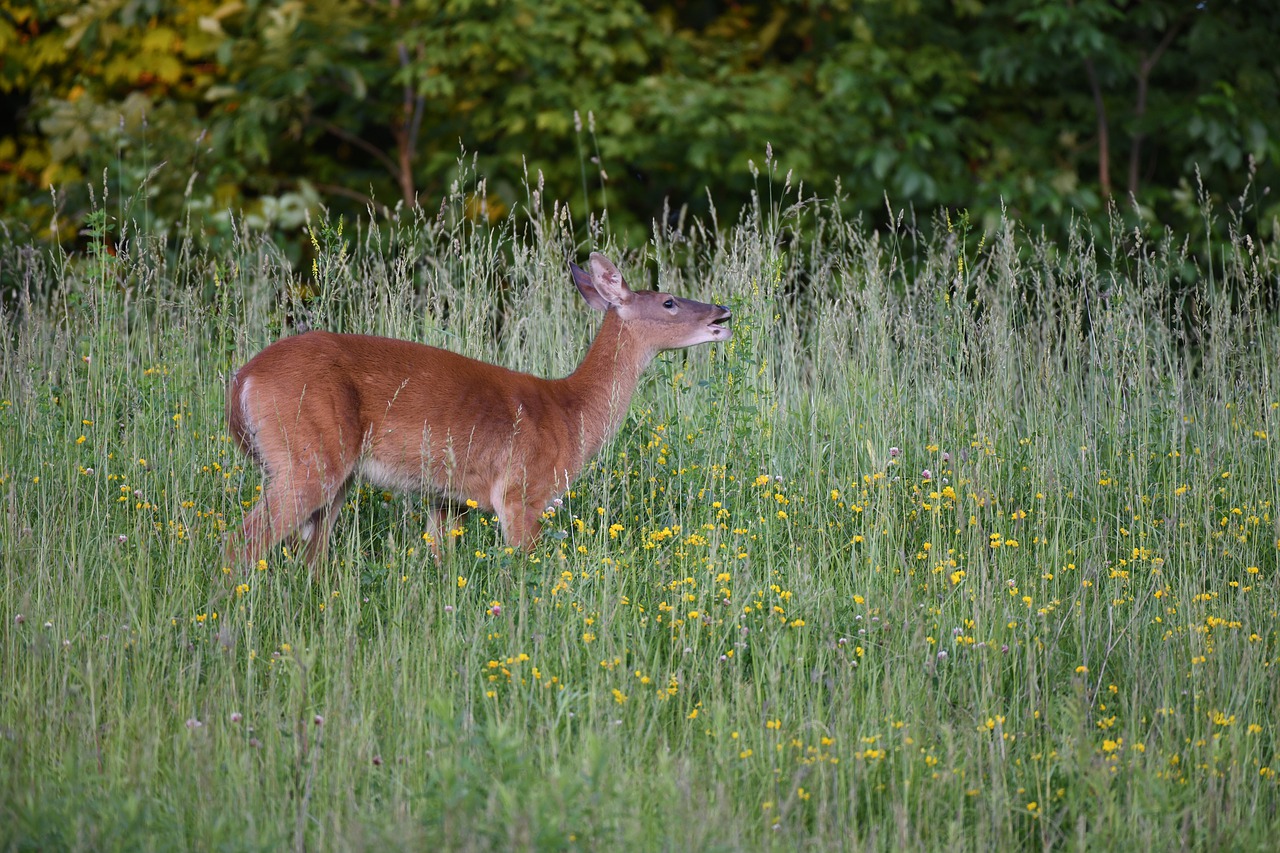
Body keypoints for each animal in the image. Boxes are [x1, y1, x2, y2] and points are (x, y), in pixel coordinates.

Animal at [220, 251, 732, 571]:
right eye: (668, 301)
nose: (723, 314)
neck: (571, 414)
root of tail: (243, 380)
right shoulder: (522, 490)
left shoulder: (448, 499)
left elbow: (440, 563)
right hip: (307, 456)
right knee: (240, 542)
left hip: (332, 474)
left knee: (310, 555)